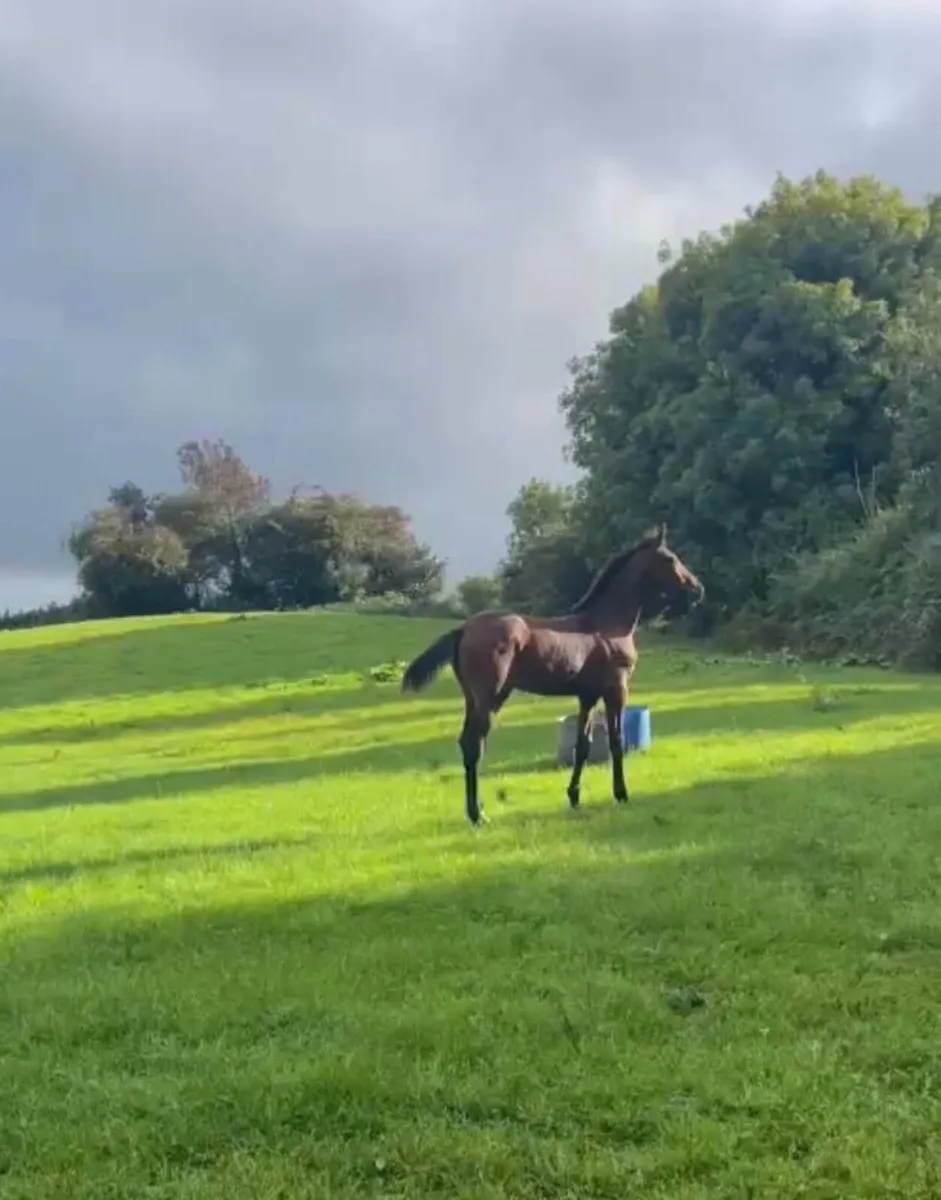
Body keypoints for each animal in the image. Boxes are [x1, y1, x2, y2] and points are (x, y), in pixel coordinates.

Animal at [401, 524, 705, 826]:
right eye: (670, 559)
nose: (697, 589)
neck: (606, 626)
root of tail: (464, 629)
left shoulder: (587, 696)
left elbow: (583, 745)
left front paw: (574, 797)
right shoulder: (616, 691)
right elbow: (616, 742)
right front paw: (621, 795)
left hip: (472, 699)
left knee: (468, 745)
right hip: (491, 697)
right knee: (474, 744)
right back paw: (478, 815)